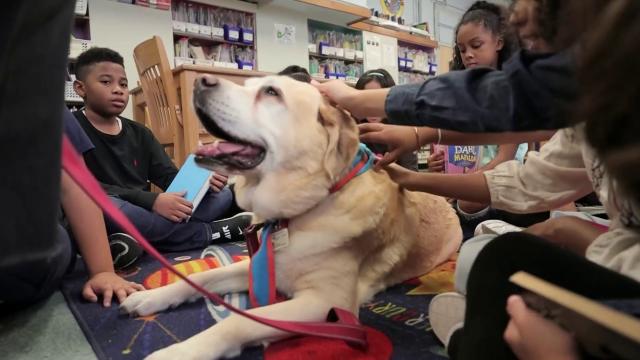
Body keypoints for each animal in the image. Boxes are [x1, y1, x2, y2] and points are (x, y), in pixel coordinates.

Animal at [120, 74, 460, 358]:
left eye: (271, 92)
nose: (200, 81)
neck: (303, 210)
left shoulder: (326, 303)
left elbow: (242, 321)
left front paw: (181, 351)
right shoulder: (260, 264)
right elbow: (201, 277)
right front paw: (151, 297)